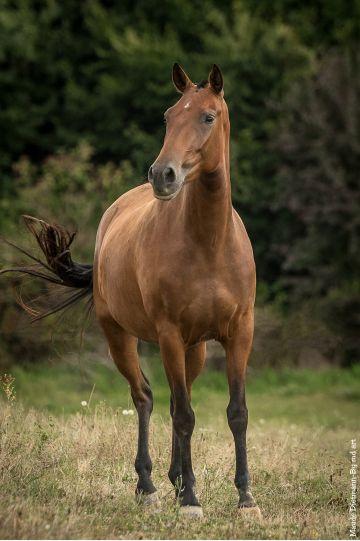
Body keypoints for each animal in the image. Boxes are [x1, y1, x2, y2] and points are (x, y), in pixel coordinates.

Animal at [2, 63, 262, 520]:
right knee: (145, 397)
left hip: (194, 348)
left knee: (177, 398)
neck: (209, 243)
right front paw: (191, 502)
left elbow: (236, 413)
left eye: (207, 117)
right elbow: (184, 415)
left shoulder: (239, 333)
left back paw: (176, 480)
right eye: (168, 116)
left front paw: (245, 499)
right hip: (120, 335)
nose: (163, 175)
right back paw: (150, 486)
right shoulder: (169, 335)